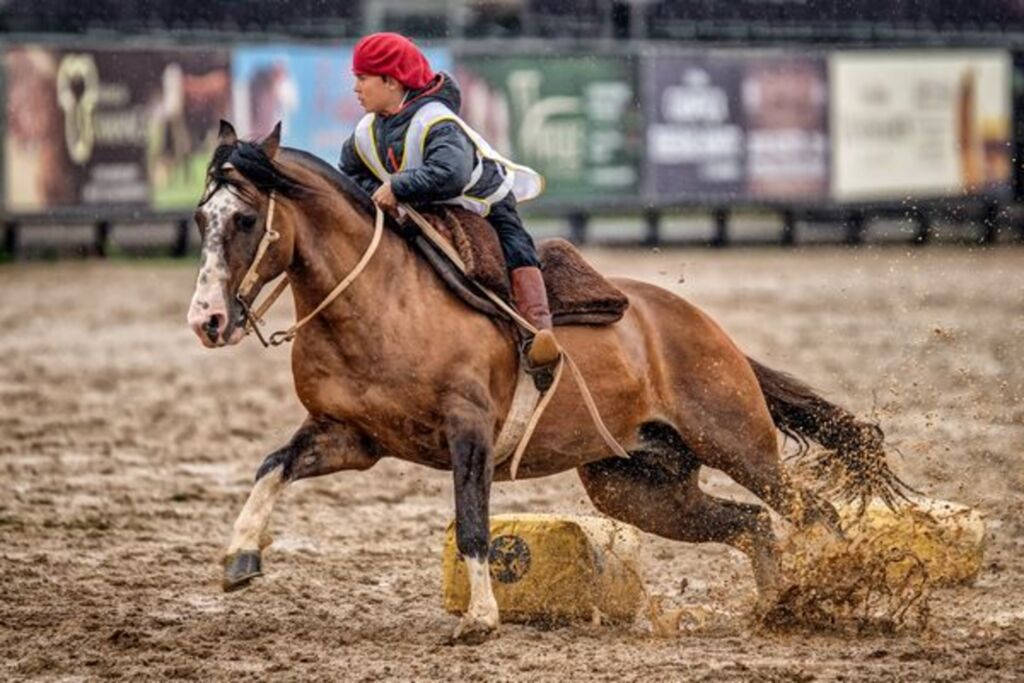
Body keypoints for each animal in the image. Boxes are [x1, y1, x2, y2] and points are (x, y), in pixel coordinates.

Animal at [186, 121, 905, 643]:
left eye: (244, 219)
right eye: (200, 218)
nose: (208, 319)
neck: (382, 299)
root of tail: (711, 332)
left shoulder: (470, 432)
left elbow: (473, 522)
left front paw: (480, 620)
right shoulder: (351, 437)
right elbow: (272, 464)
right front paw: (240, 557)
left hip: (739, 446)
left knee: (814, 511)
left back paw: (833, 593)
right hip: (640, 488)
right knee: (751, 524)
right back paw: (778, 608)